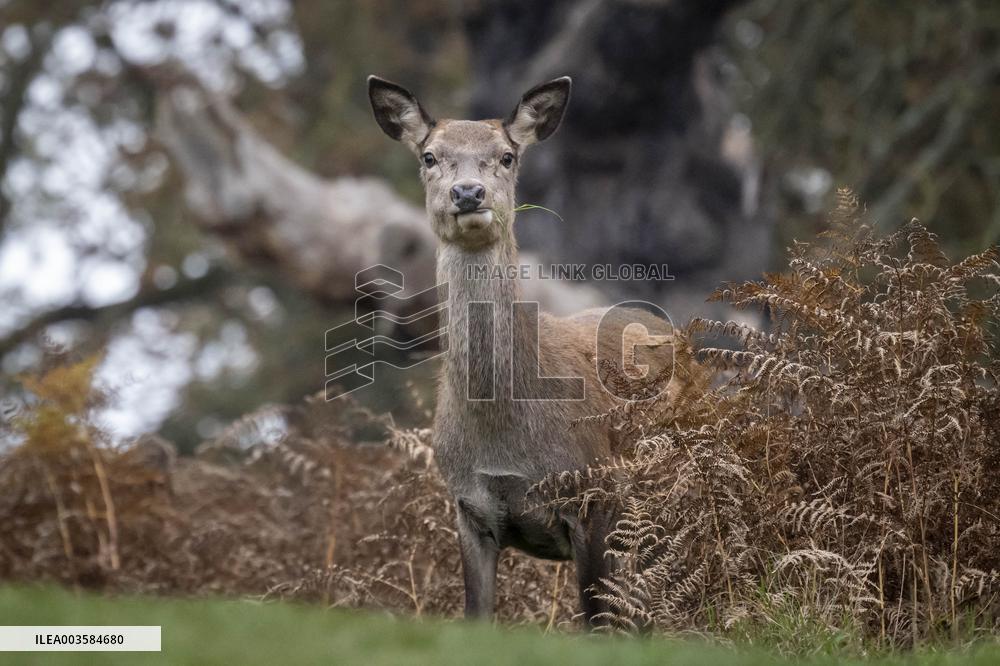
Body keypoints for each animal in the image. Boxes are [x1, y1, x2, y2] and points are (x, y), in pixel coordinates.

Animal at [367, 74, 676, 627]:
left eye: (507, 156)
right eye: (429, 155)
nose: (468, 192)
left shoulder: (595, 496)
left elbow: (596, 621)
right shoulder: (468, 508)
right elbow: (476, 616)